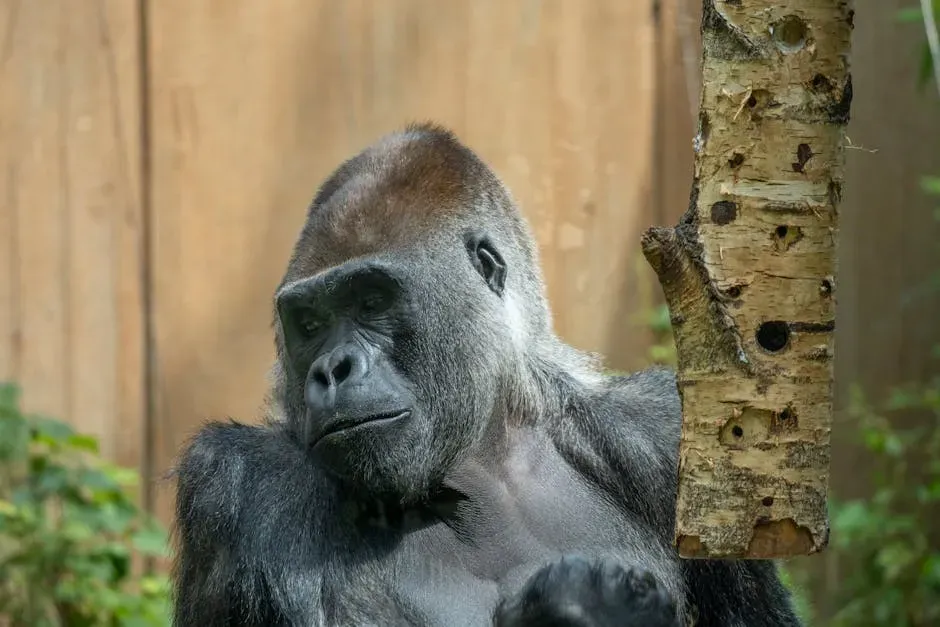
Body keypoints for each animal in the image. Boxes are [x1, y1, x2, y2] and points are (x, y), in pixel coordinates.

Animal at [170, 123, 802, 626]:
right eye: (309, 323)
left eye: (372, 300)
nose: (332, 369)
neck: (482, 457)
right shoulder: (232, 480)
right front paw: (581, 608)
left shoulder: (663, 433)